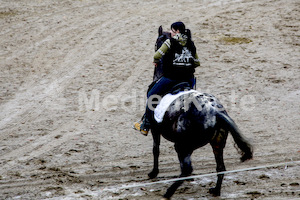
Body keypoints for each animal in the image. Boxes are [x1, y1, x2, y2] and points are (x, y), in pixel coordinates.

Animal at [145, 25, 253, 199]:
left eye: (156, 43)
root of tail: (216, 112)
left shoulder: (155, 129)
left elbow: (156, 150)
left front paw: (153, 173)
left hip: (182, 146)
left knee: (187, 169)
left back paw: (169, 192)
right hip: (217, 144)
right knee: (220, 168)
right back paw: (215, 190)